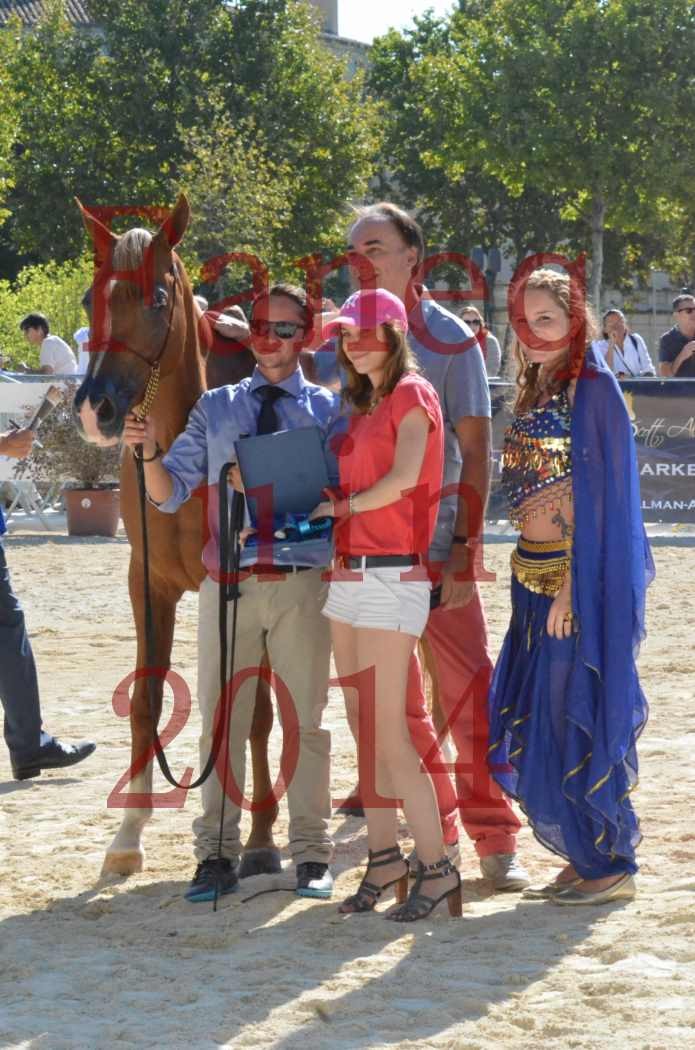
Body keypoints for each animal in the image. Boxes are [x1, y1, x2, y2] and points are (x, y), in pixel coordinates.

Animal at [75, 195, 281, 877]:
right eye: (88, 300)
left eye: (158, 298)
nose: (95, 410)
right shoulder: (149, 585)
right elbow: (146, 701)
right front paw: (128, 834)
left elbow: (256, 714)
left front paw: (262, 835)